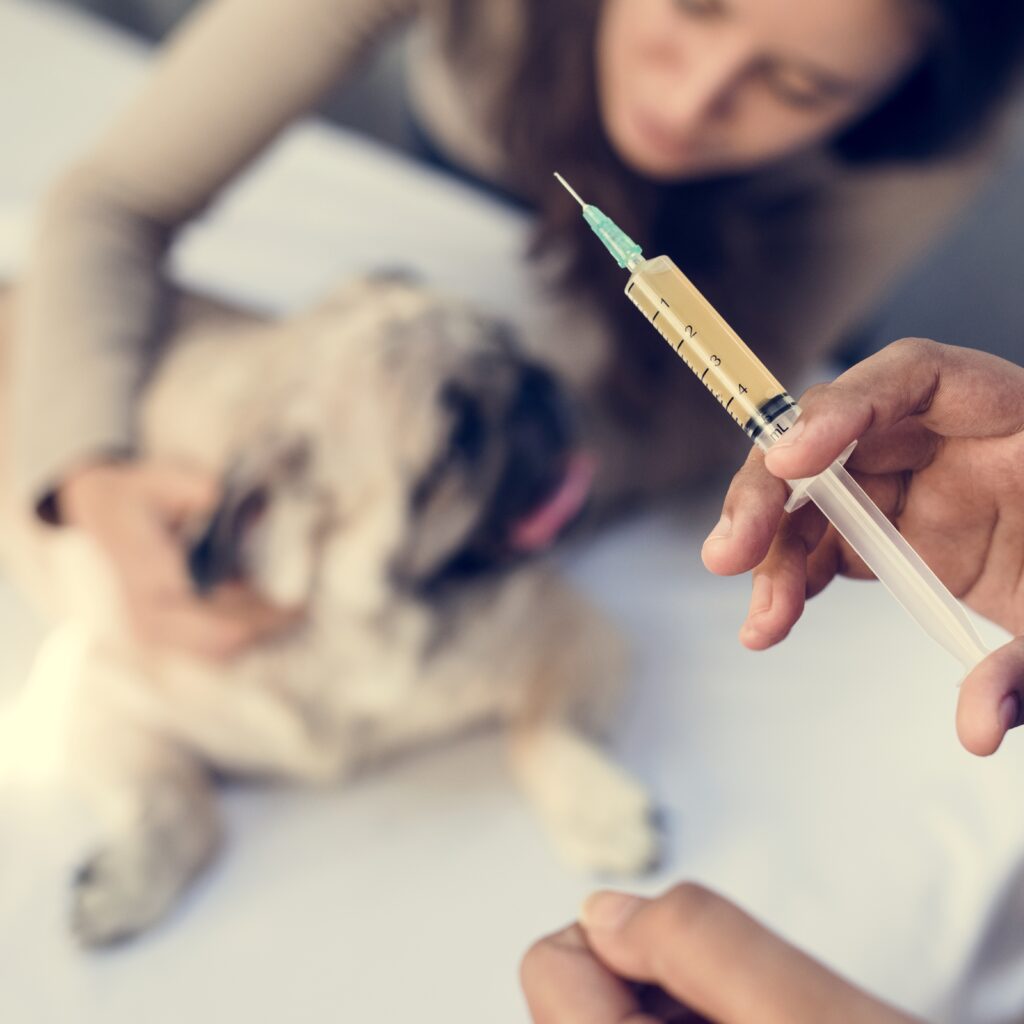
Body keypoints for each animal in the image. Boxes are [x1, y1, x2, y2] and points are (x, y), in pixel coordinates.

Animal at [0, 278, 655, 942]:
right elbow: (180, 801)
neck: (346, 627)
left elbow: (544, 730)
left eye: (511, 341)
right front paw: (127, 883)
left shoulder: (566, 630)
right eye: (458, 441)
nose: (536, 382)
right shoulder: (98, 699)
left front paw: (600, 813)